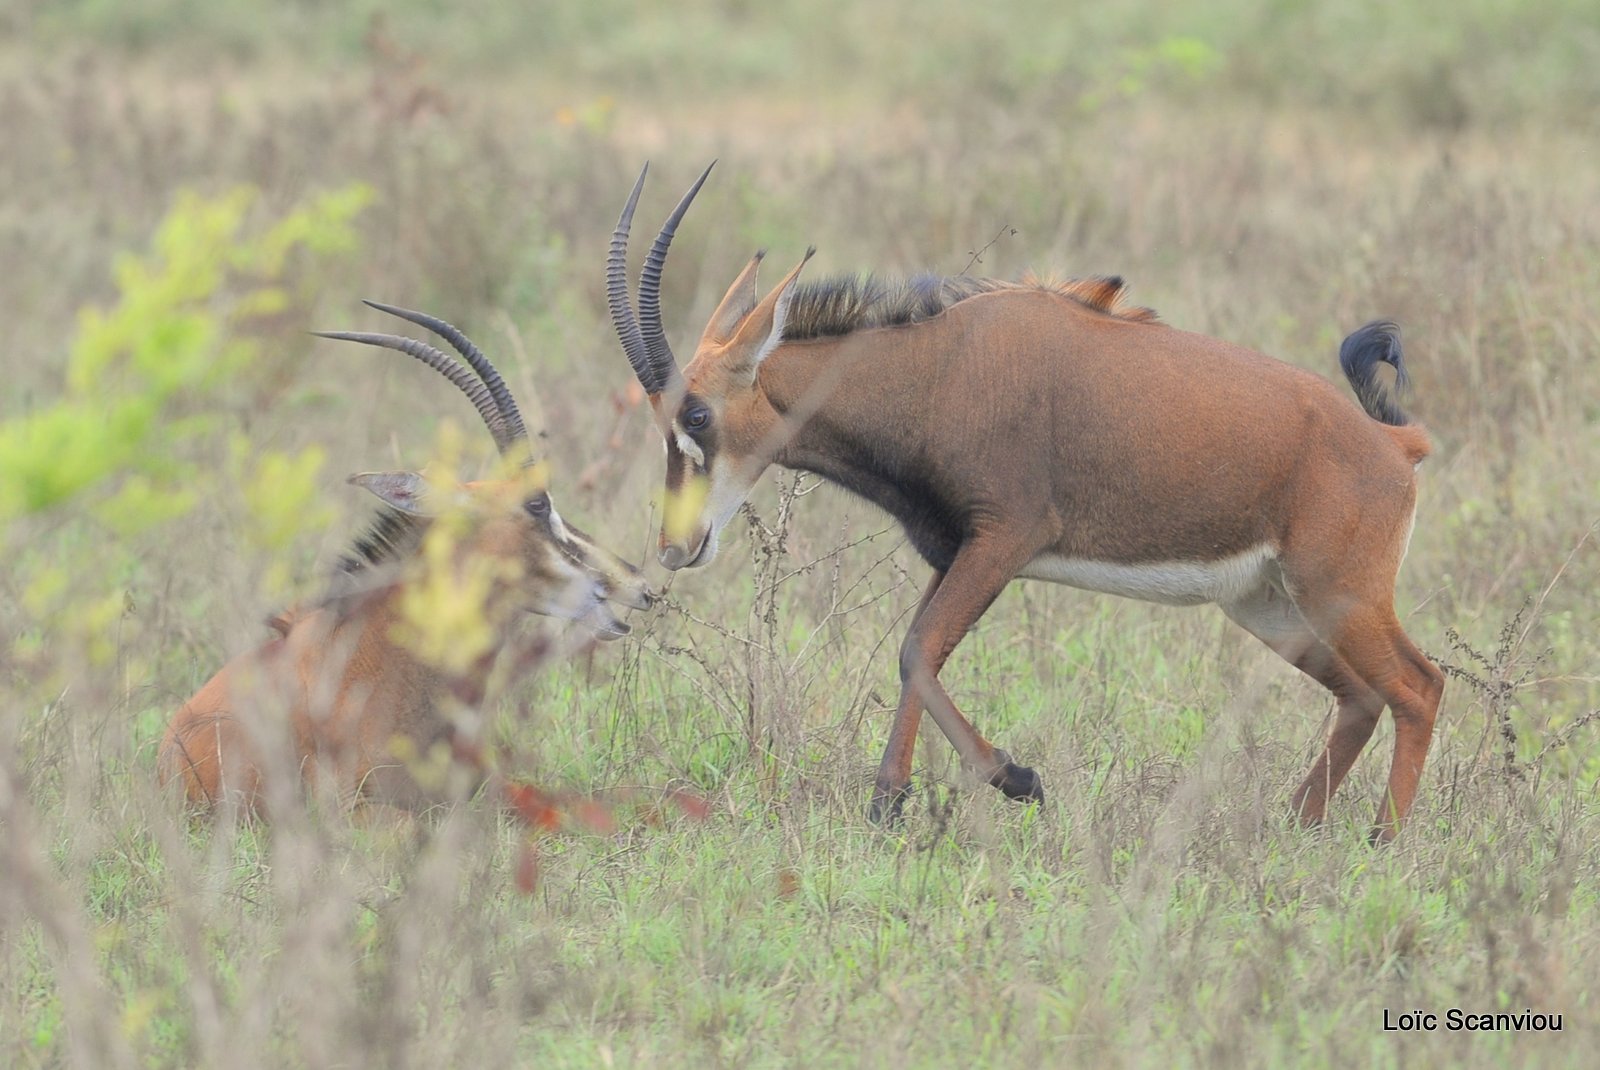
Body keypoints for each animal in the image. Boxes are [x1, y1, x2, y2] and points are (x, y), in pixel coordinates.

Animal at [604, 163, 1446, 838]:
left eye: (698, 415)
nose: (675, 548)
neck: (938, 366)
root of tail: (1394, 444)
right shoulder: (954, 551)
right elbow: (915, 652)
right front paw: (889, 802)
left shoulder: (1005, 539)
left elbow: (918, 650)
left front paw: (1014, 780)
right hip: (1268, 606)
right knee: (1362, 698)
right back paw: (1294, 826)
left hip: (1339, 591)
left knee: (1417, 687)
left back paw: (1383, 844)